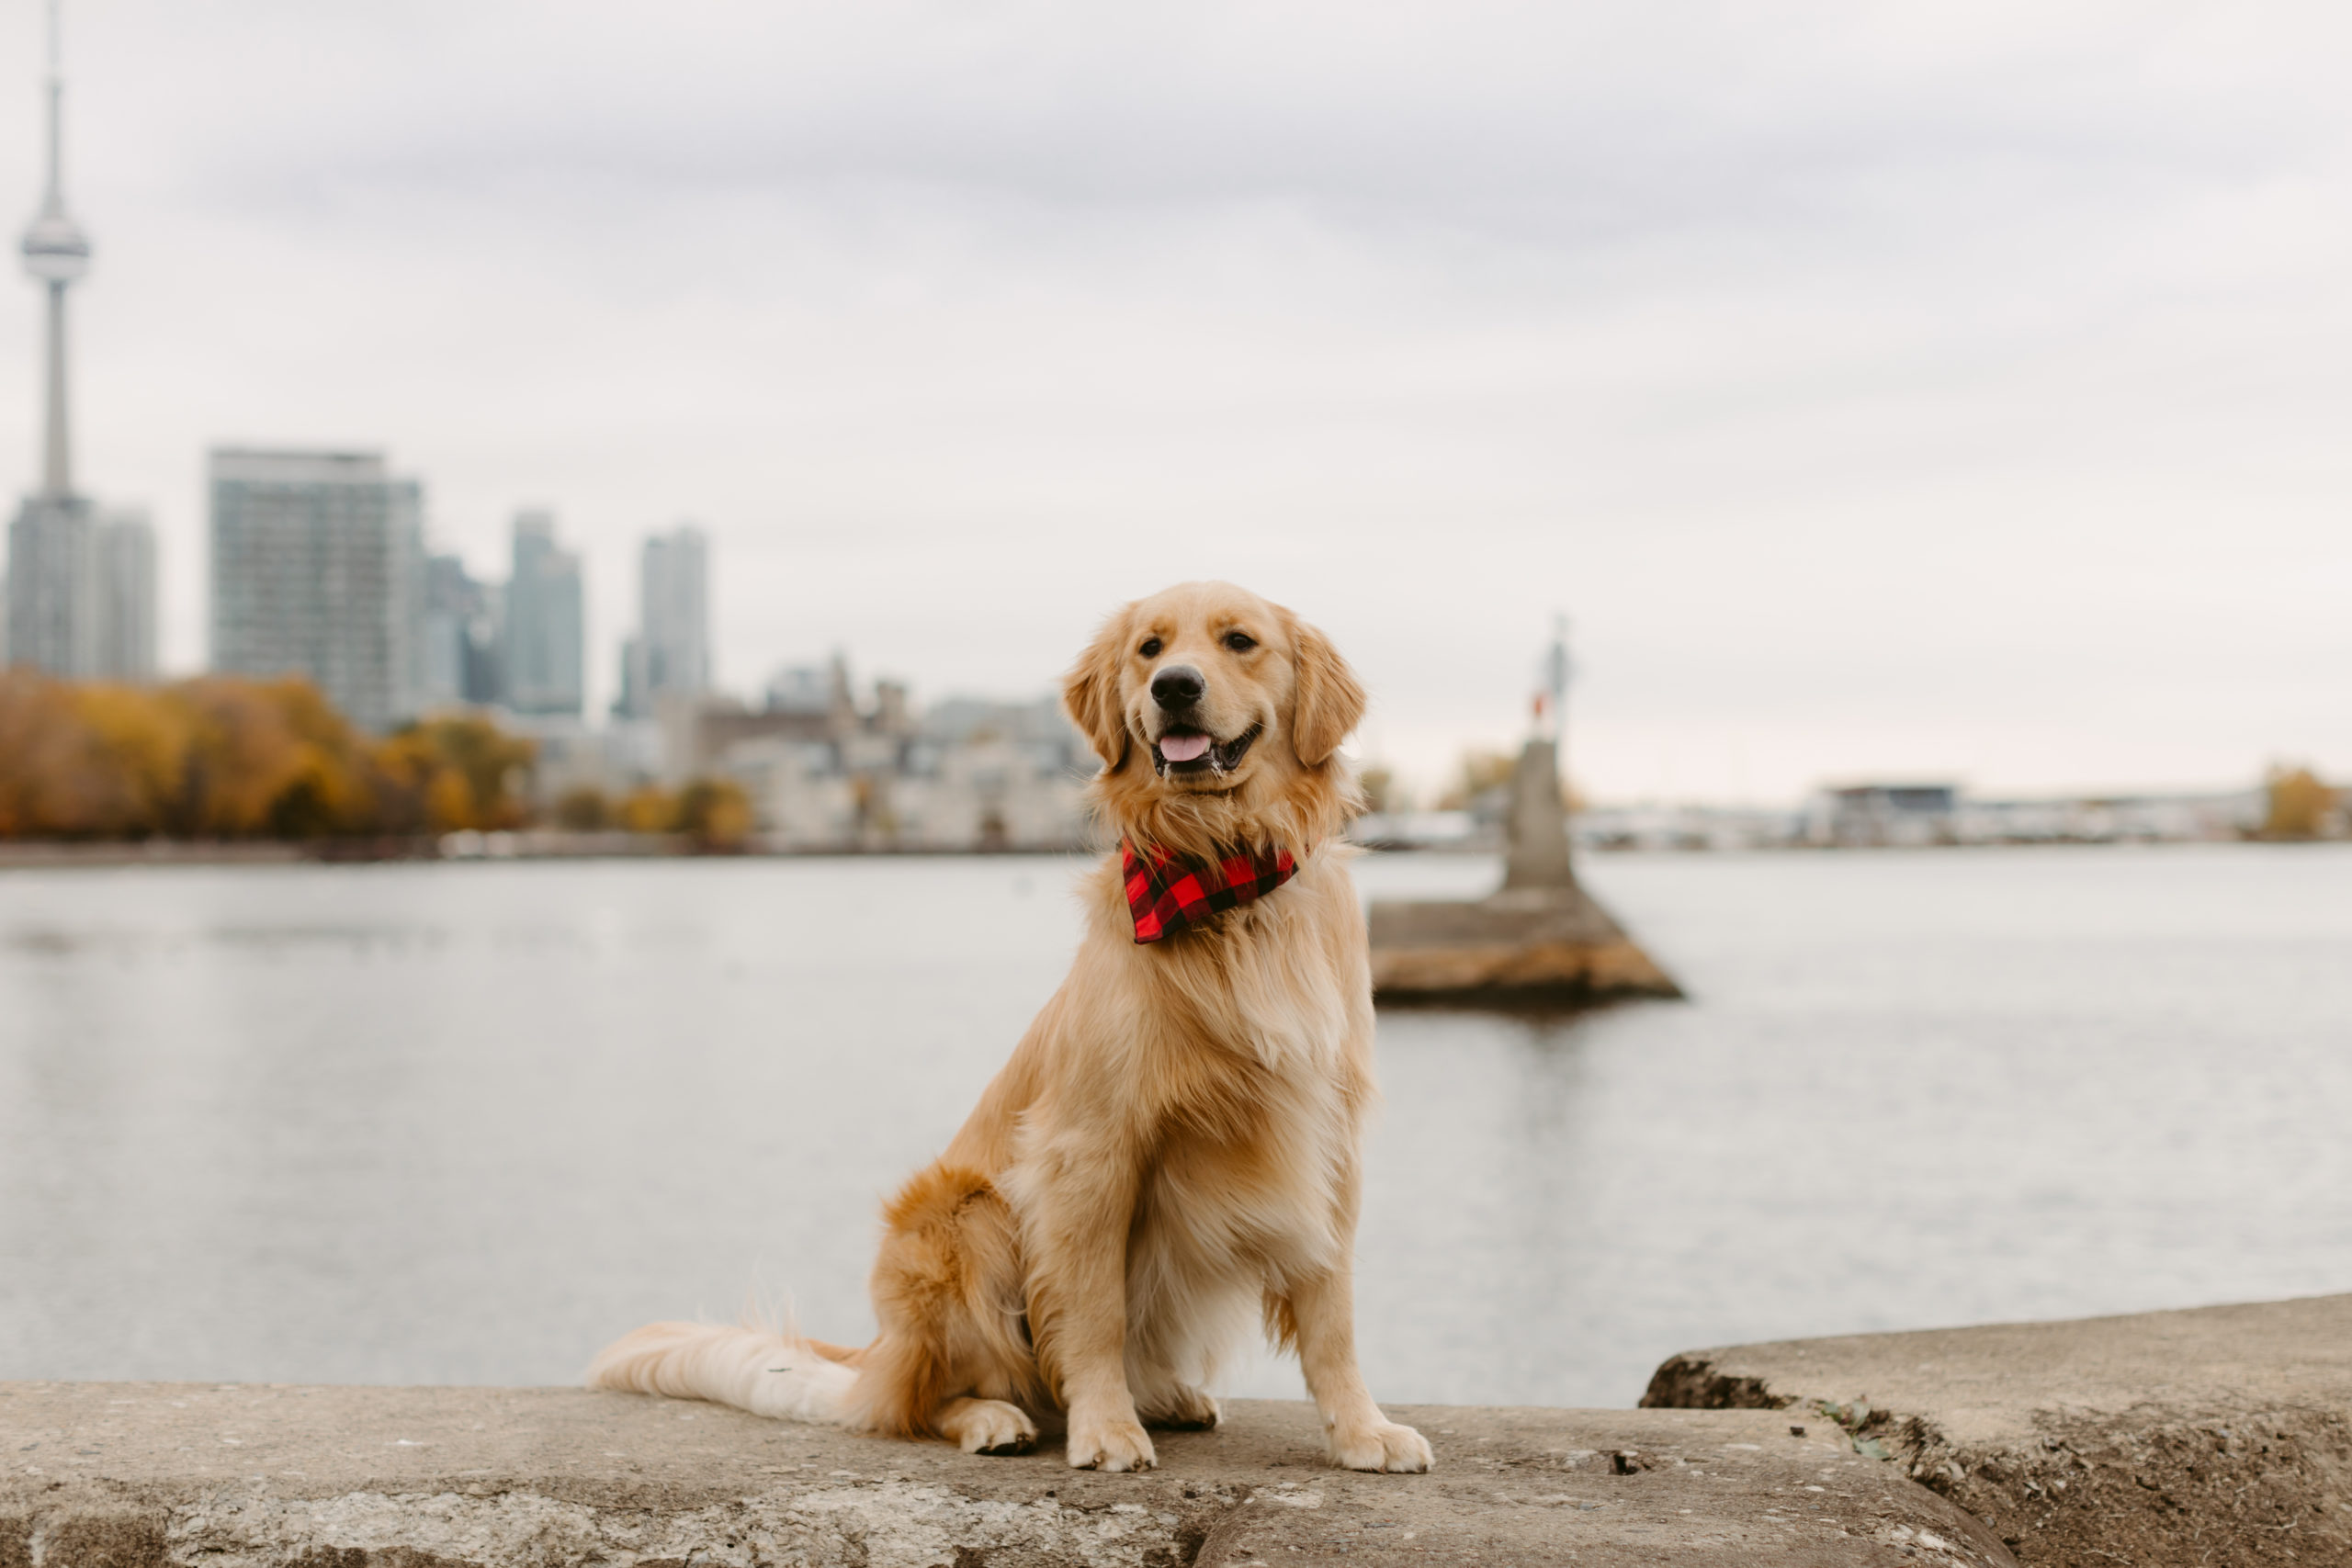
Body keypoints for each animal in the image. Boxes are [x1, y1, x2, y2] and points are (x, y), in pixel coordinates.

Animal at [588, 582, 1430, 1476]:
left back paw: (1166, 1394)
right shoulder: (1086, 1149)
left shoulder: (1326, 1139)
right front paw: (1105, 1428)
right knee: (922, 1403)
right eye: (1150, 647)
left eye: (1239, 641)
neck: (1223, 880)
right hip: (965, 1215)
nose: (1174, 685)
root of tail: (880, 1353)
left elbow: (1333, 1312)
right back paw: (995, 1416)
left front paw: (1363, 1430)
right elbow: (1092, 1309)